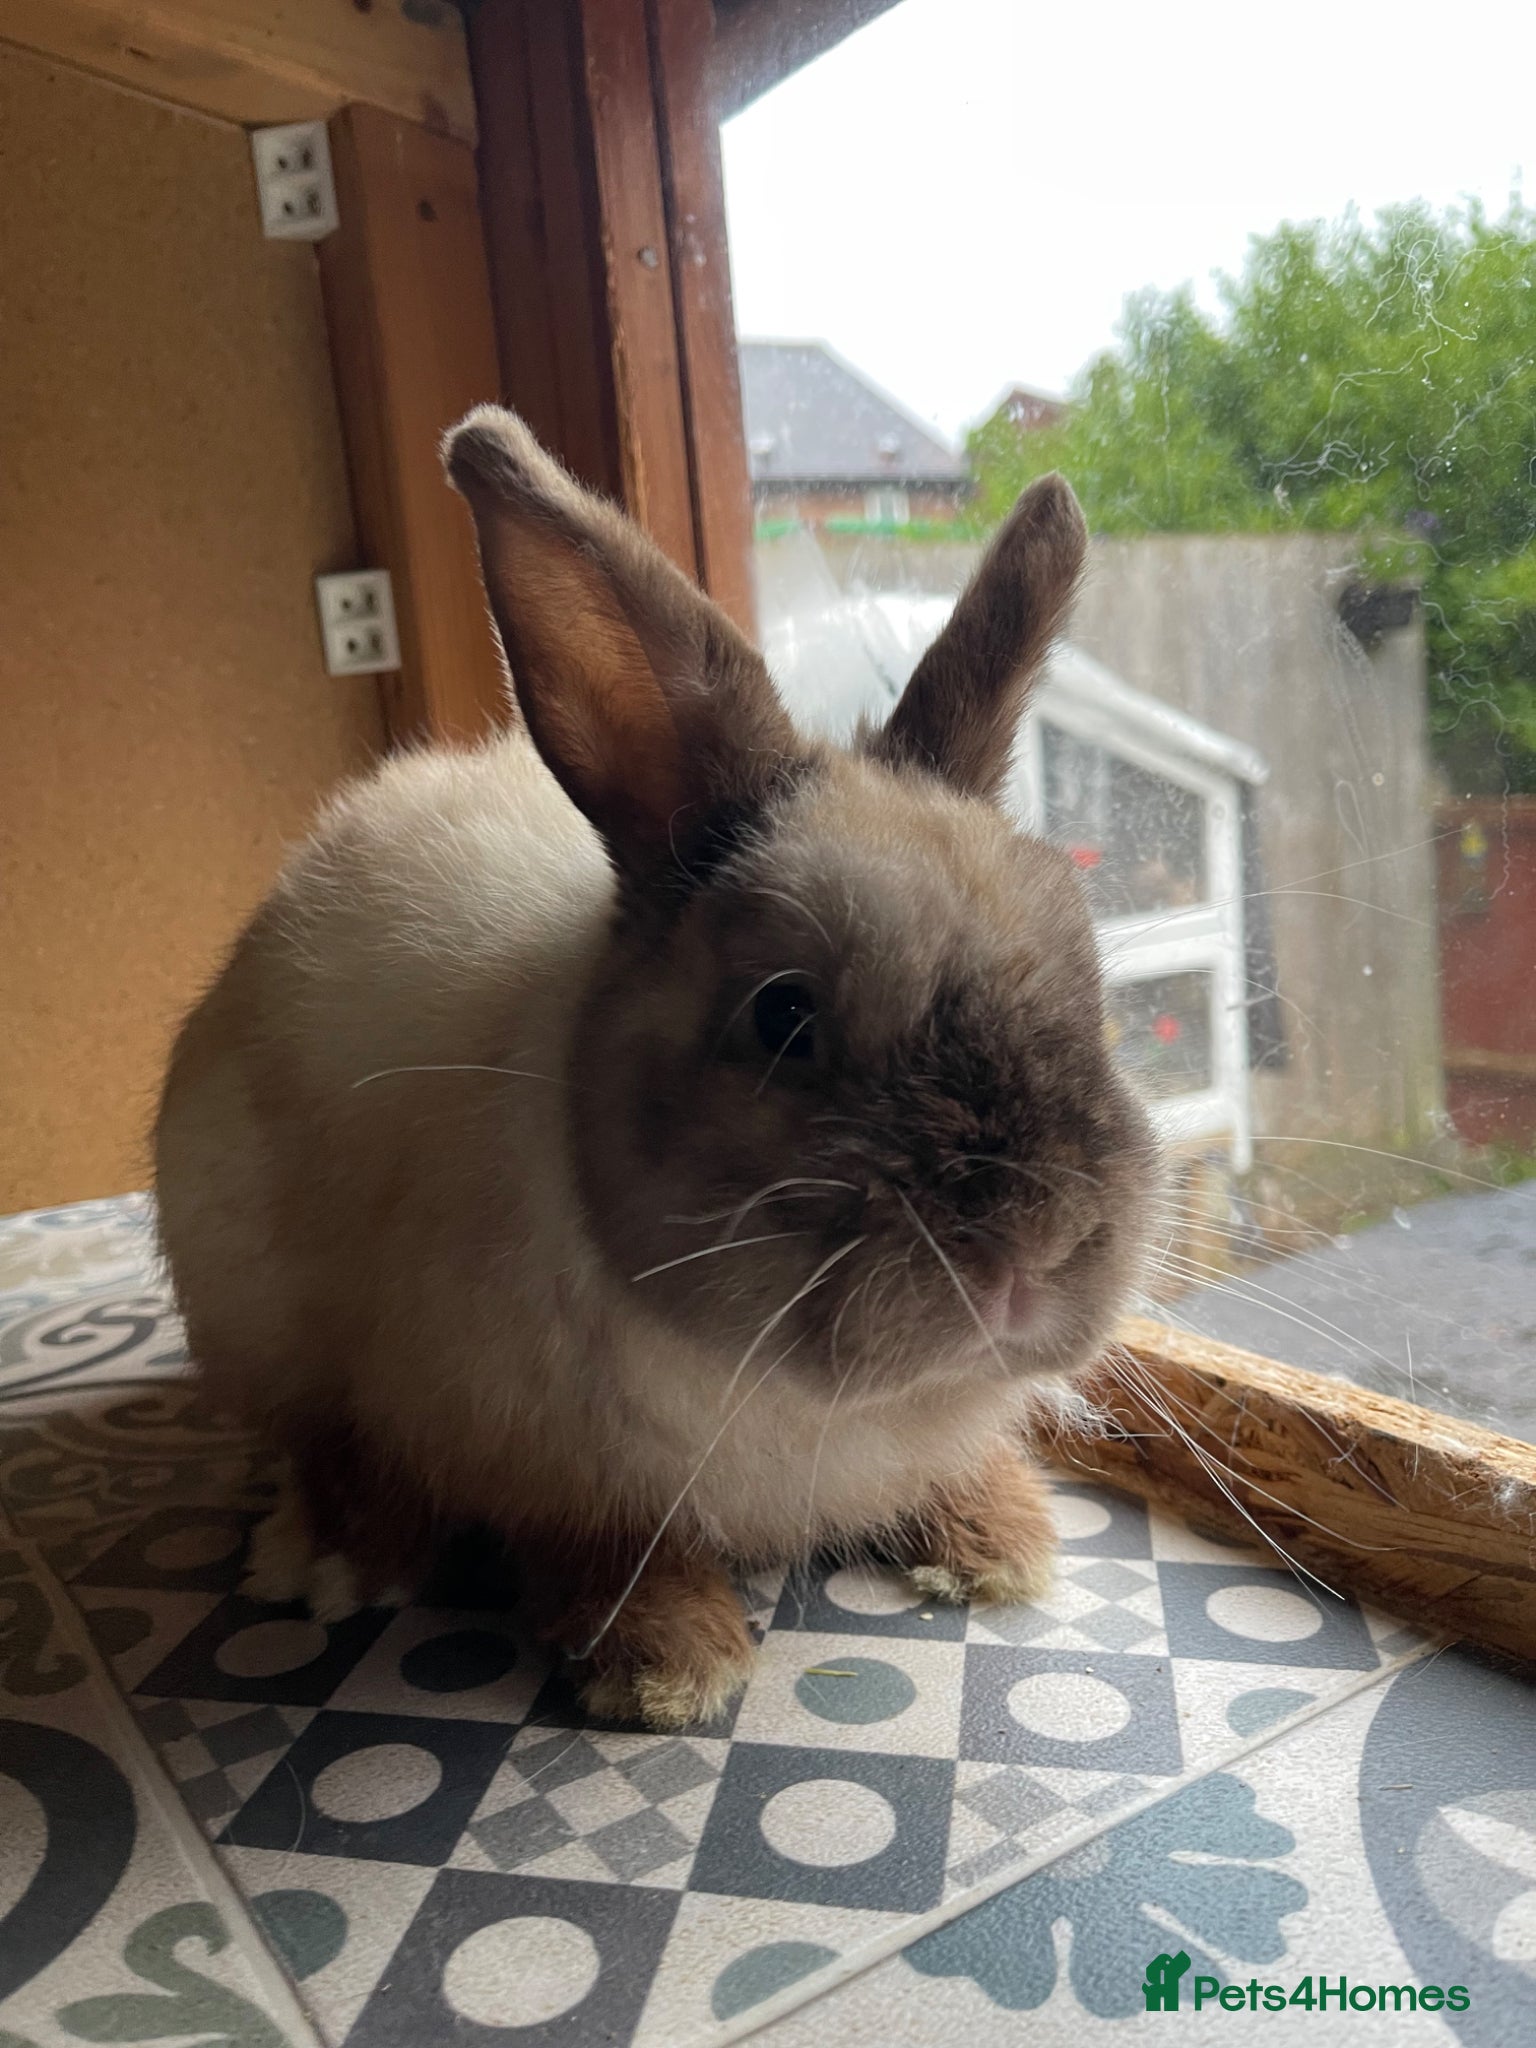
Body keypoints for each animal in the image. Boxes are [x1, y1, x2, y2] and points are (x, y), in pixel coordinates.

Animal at [153, 405, 1160, 1731]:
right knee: (322, 1441)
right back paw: (332, 1556)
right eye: (783, 1015)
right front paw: (672, 1663)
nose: (1033, 1247)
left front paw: (998, 1535)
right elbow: (599, 1542)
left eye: (1090, 982)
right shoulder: (522, 1442)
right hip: (247, 1292)